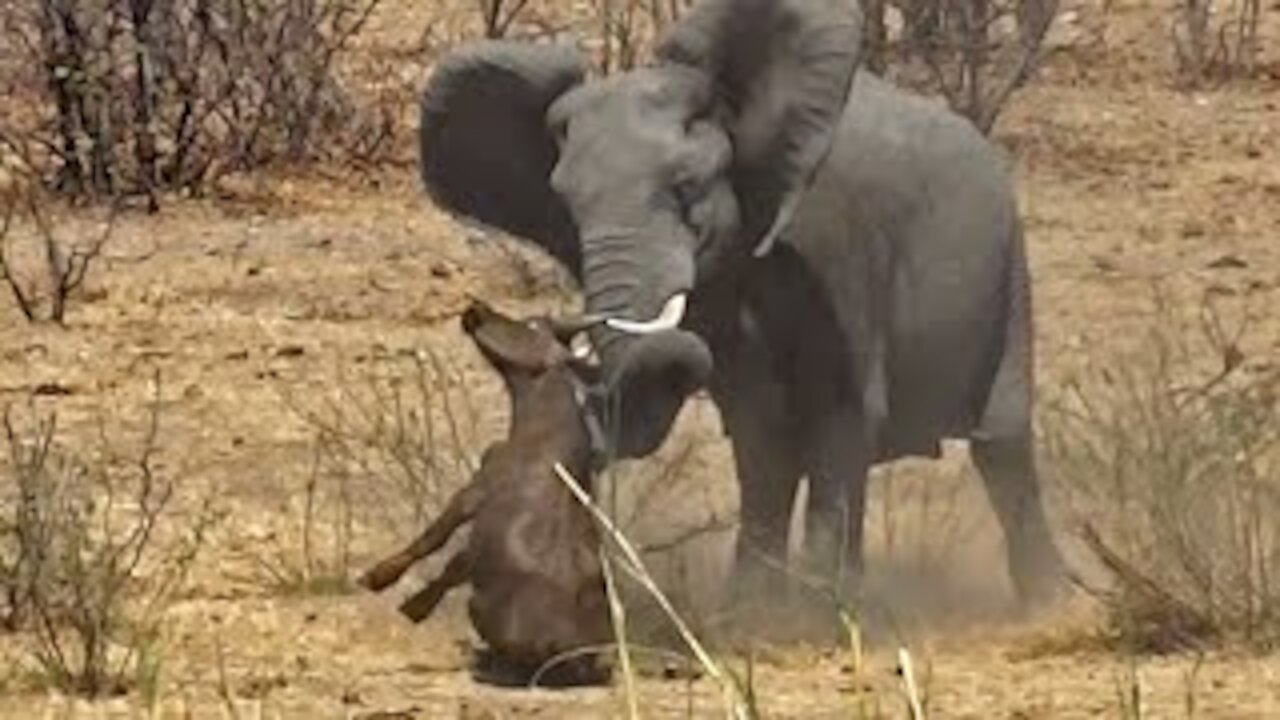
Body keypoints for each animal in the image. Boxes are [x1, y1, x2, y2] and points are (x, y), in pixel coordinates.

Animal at [358, 297, 611, 681]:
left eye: (530, 324)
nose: (476, 307)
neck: (543, 426)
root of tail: (558, 649)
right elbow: (453, 563)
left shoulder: (474, 491)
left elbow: (434, 542)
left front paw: (381, 582)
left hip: (476, 605)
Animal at [414, 0, 1064, 614]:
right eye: (567, 209)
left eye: (686, 189)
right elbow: (760, 435)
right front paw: (753, 612)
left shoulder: (838, 251)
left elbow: (842, 417)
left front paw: (819, 615)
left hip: (1009, 273)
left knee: (1002, 447)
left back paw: (1048, 603)